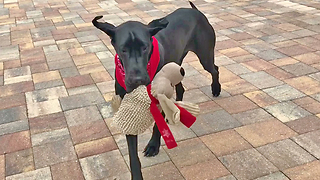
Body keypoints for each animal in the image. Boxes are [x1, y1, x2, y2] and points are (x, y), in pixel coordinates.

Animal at [91, 1, 219, 180]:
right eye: (123, 49)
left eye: (145, 47)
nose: (137, 79)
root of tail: (196, 11)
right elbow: (132, 153)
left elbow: (157, 126)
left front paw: (153, 145)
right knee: (180, 87)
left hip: (205, 55)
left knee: (215, 69)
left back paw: (216, 88)